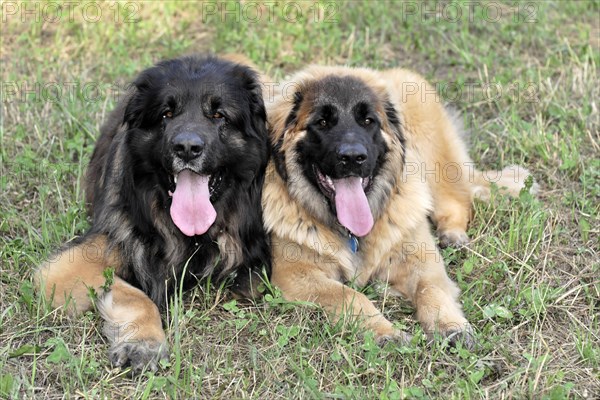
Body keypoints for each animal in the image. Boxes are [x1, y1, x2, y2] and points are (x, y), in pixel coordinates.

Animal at [36, 54, 270, 370]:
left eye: (219, 115)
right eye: (166, 114)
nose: (187, 148)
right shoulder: (63, 272)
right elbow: (136, 294)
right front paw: (145, 343)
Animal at [262, 66, 536, 346]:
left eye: (368, 121)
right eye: (322, 123)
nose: (353, 158)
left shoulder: (422, 259)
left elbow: (430, 288)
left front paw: (450, 325)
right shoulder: (296, 274)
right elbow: (349, 295)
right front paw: (385, 331)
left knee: (458, 198)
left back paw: (452, 234)